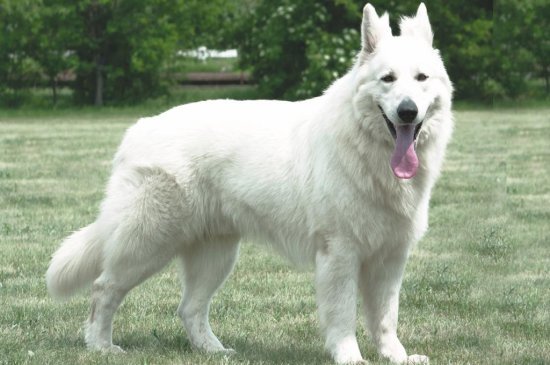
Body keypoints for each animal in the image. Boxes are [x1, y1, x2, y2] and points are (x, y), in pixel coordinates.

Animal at [46, 3, 452, 364]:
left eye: (421, 79)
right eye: (388, 79)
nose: (407, 112)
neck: (366, 149)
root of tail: (138, 128)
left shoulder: (390, 258)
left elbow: (385, 318)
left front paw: (397, 357)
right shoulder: (340, 254)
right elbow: (342, 316)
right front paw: (350, 357)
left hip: (216, 256)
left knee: (189, 308)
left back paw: (214, 351)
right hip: (147, 244)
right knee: (104, 289)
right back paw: (101, 347)